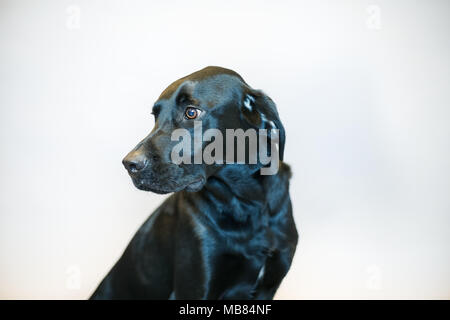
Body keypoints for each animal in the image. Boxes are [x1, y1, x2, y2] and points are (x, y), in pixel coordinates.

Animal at [89, 66, 298, 298]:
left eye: (191, 112)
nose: (130, 164)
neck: (246, 201)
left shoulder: (268, 286)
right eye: (155, 116)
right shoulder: (195, 286)